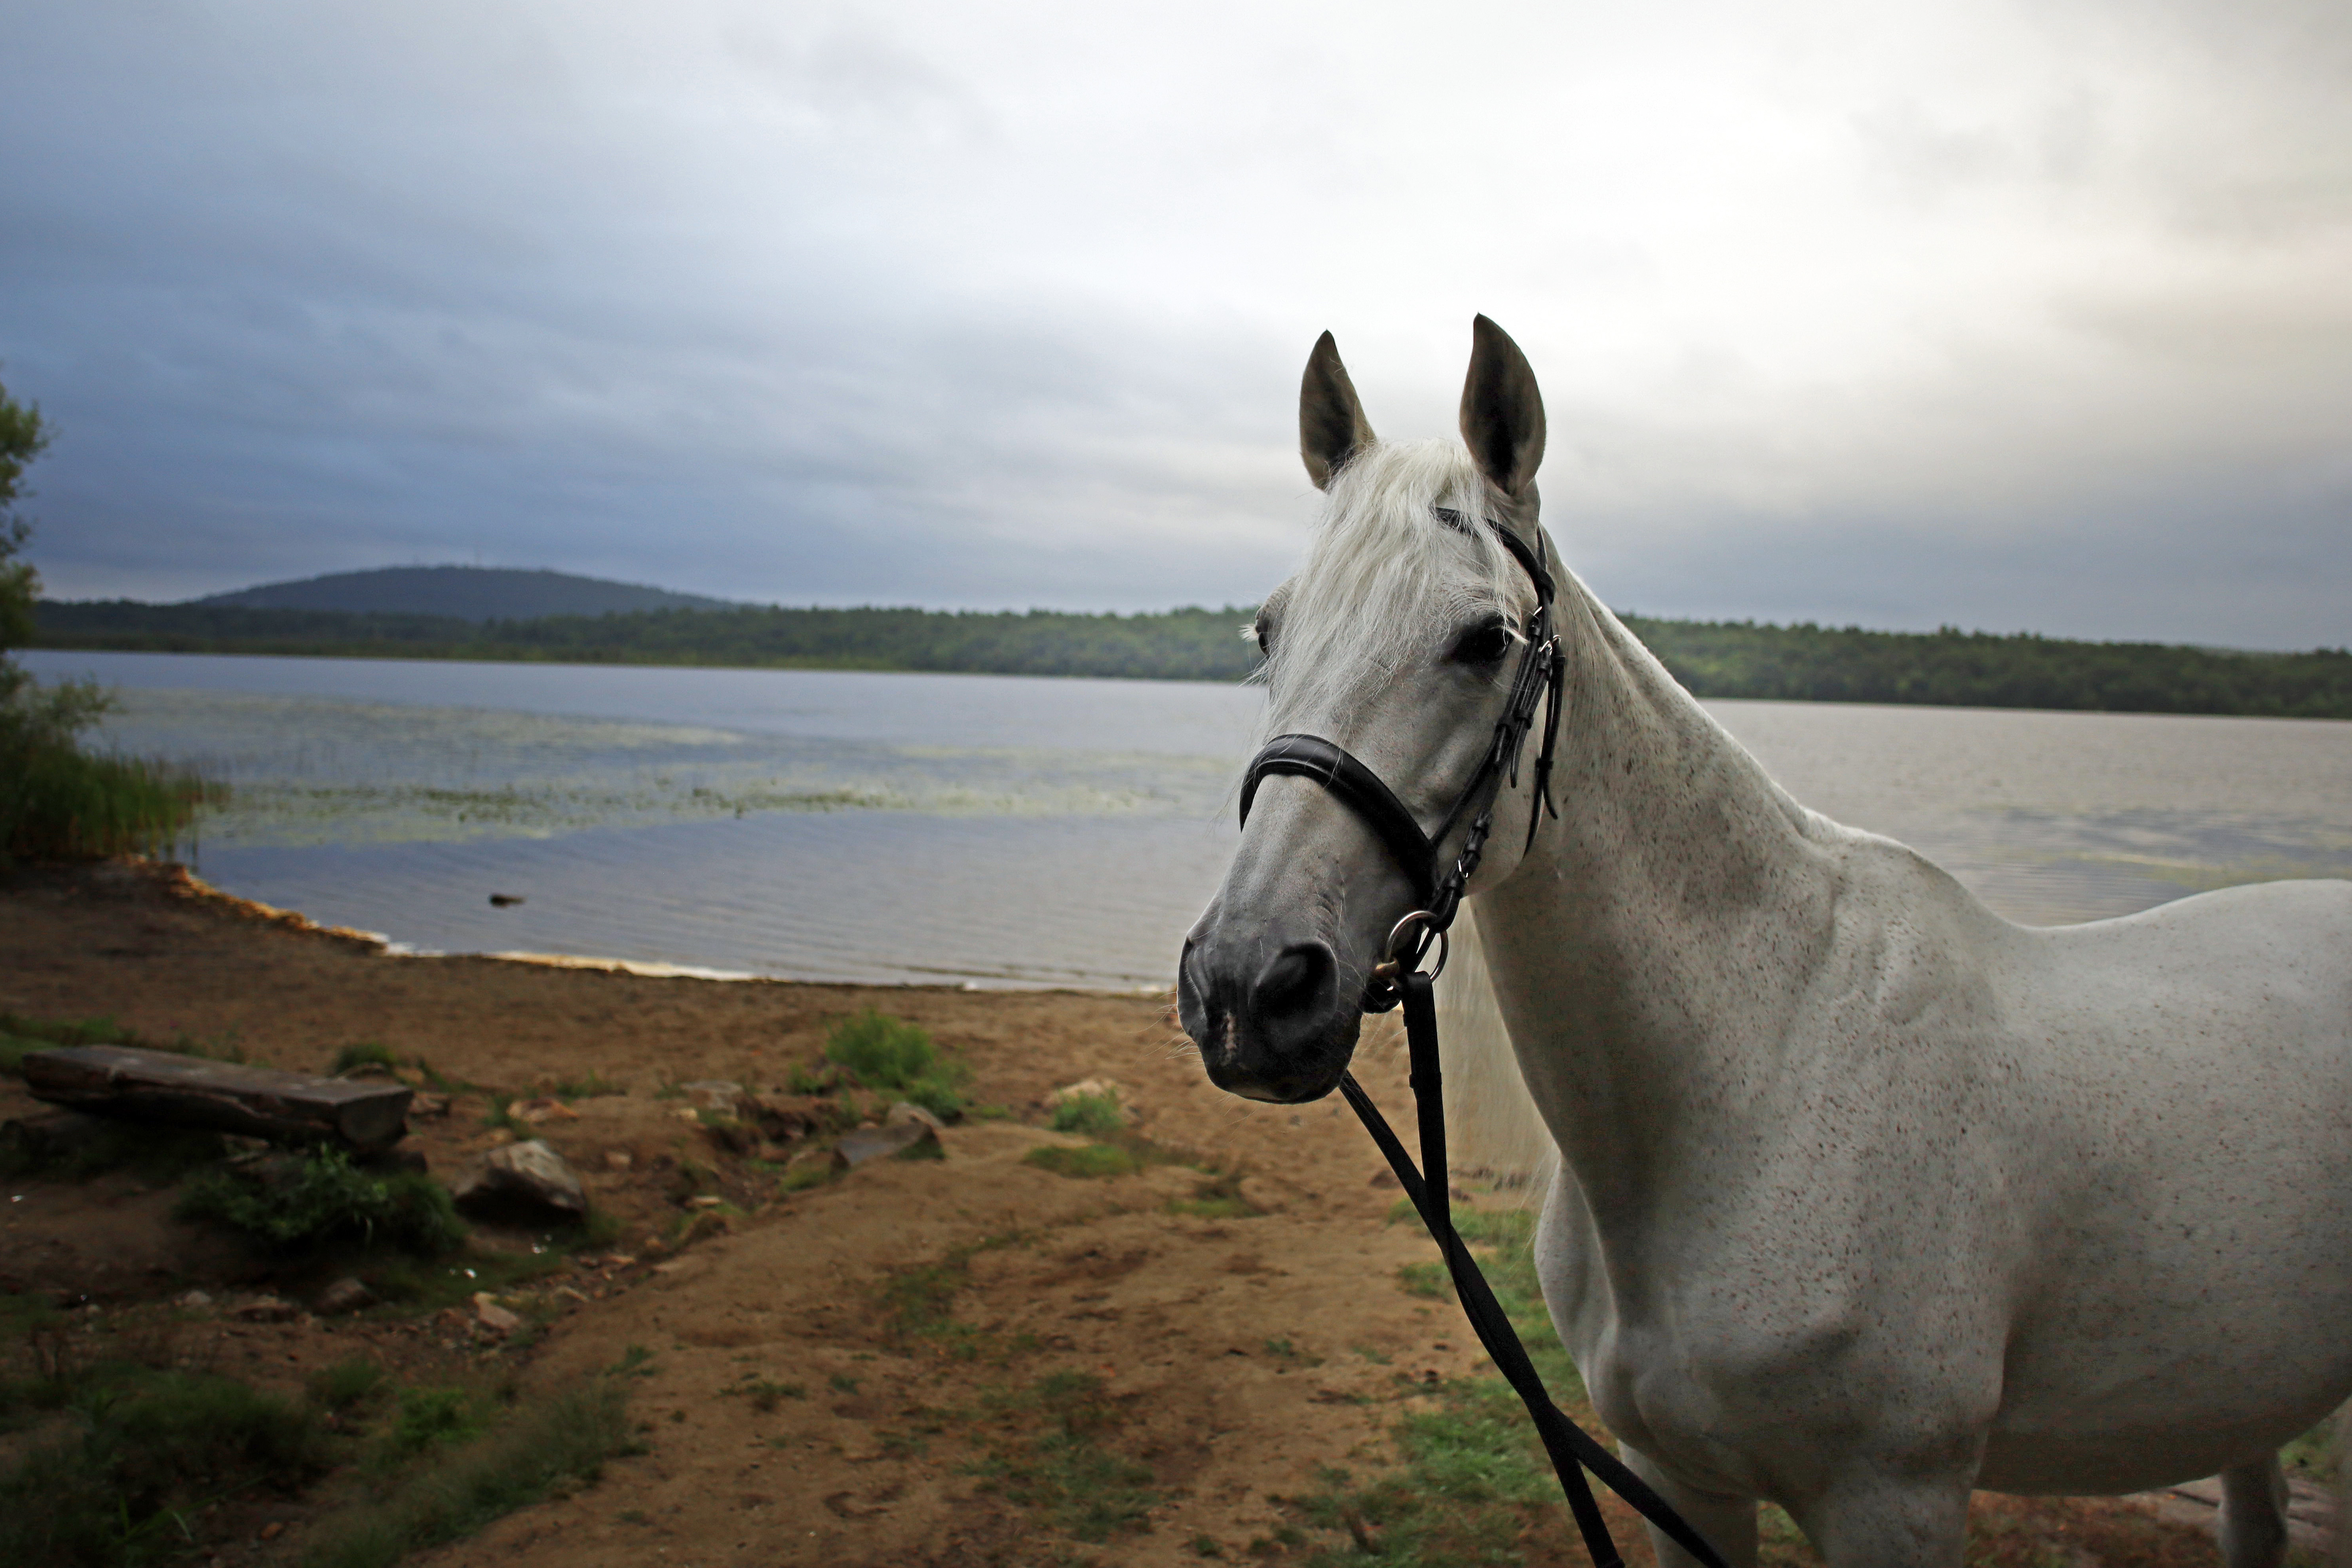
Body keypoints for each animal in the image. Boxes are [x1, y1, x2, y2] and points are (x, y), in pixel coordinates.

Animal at [1177, 316, 2352, 1568]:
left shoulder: (1892, 1498)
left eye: (1482, 639)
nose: (1246, 984)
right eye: (1268, 629)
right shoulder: (1678, 1479)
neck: (1754, 1082)